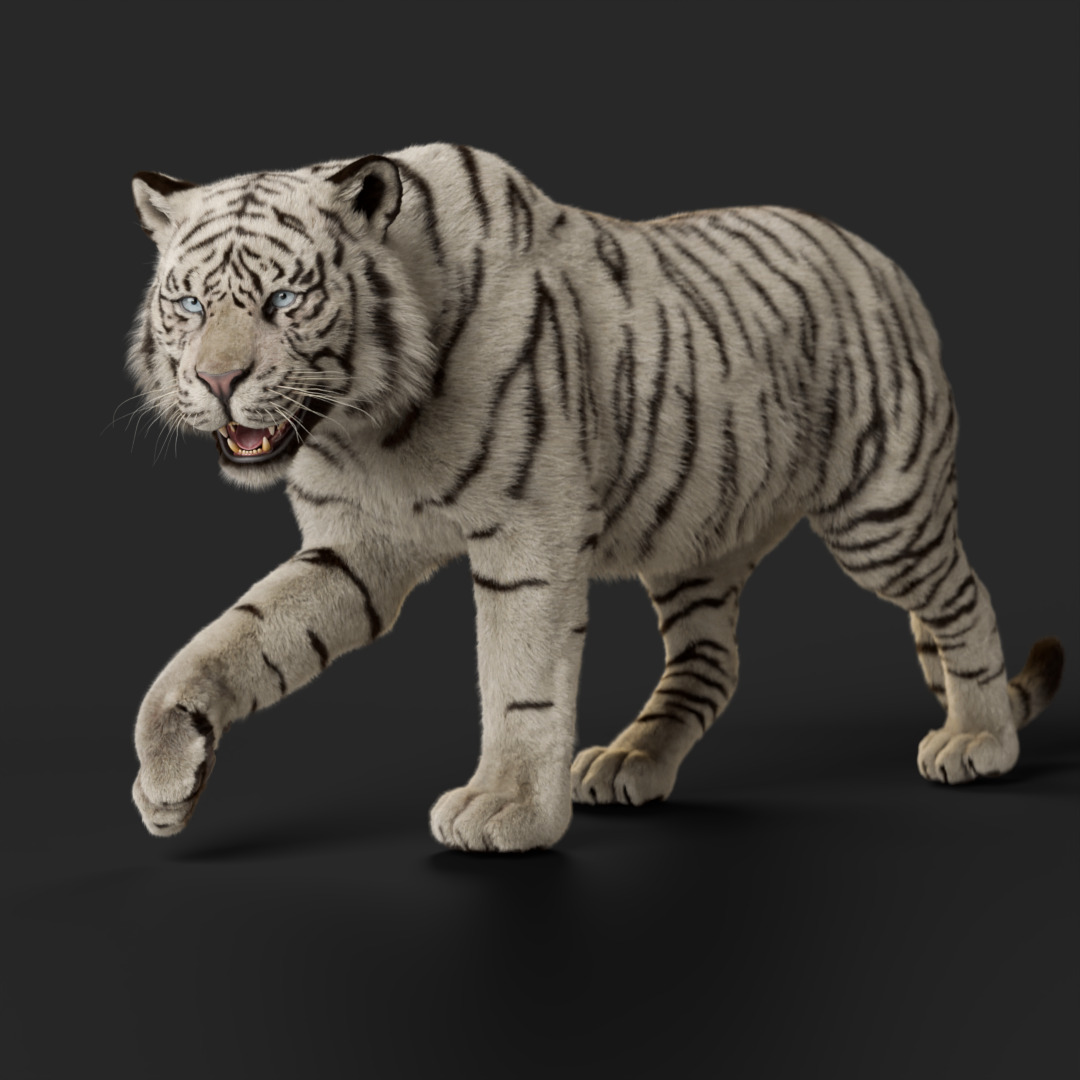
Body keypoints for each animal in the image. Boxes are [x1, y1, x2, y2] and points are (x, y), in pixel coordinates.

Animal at [127, 142, 1064, 852]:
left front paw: (504, 809)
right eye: (189, 302)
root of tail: (880, 258)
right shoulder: (356, 550)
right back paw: (632, 761)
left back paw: (980, 738)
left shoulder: (526, 535)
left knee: (964, 599)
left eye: (284, 299)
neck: (365, 423)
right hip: (697, 536)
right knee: (712, 661)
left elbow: (518, 679)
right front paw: (166, 781)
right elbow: (228, 643)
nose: (217, 381)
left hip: (881, 513)